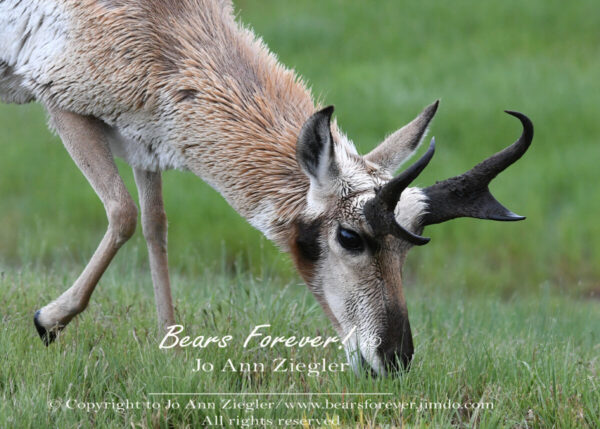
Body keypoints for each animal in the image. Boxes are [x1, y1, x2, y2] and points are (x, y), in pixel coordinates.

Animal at [2, 0, 532, 374]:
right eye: (350, 237)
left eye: (408, 247)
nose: (396, 359)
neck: (166, 27)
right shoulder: (66, 107)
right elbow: (123, 212)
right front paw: (48, 321)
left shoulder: (142, 141)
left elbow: (155, 226)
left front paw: (172, 348)